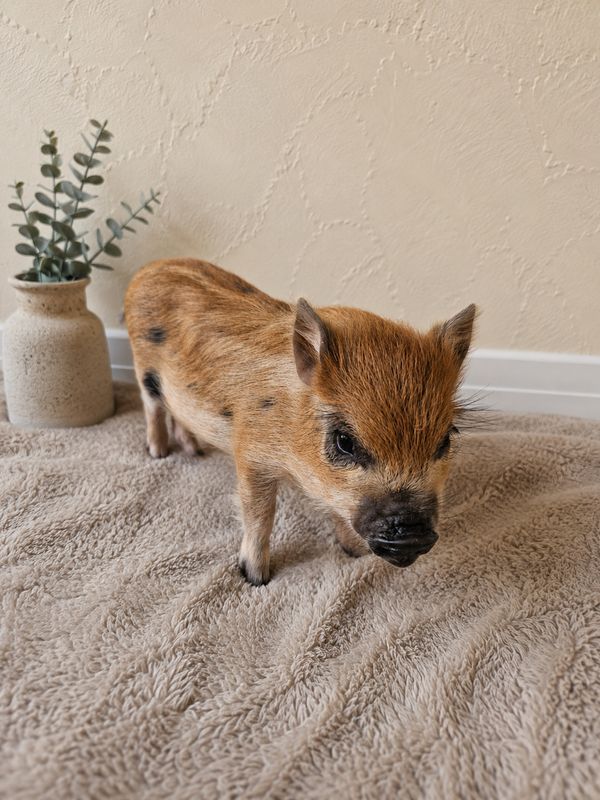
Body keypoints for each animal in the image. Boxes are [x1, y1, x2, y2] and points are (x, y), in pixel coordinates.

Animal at [124, 258, 476, 585]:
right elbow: (260, 514)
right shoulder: (250, 455)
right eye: (345, 441)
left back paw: (195, 451)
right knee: (153, 407)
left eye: (445, 439)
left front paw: (354, 554)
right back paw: (159, 453)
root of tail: (149, 269)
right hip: (144, 370)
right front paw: (256, 578)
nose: (411, 535)